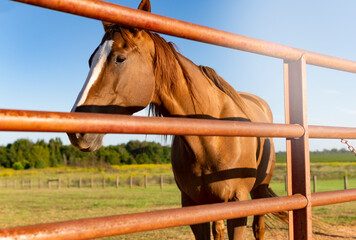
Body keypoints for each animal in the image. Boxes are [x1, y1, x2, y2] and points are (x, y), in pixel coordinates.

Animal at [68, 0, 282, 239]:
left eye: (119, 58)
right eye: (90, 61)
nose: (76, 130)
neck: (213, 137)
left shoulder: (238, 203)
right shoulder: (192, 205)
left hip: (259, 191)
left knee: (259, 228)